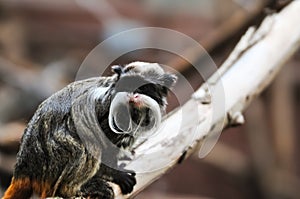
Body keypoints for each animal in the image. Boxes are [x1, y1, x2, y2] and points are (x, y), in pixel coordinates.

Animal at [2, 62, 176, 199]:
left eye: (142, 87)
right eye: (127, 85)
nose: (131, 96)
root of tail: (23, 169)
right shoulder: (108, 109)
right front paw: (115, 174)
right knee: (86, 141)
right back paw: (74, 189)